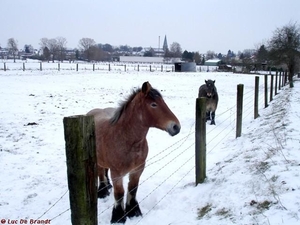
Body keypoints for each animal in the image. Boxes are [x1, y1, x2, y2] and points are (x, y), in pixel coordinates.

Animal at [86, 81, 180, 223]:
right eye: (153, 104)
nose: (176, 127)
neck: (126, 139)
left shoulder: (138, 169)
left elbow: (132, 189)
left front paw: (133, 212)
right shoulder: (117, 173)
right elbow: (119, 193)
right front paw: (118, 217)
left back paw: (107, 186)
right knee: (101, 173)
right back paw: (102, 192)